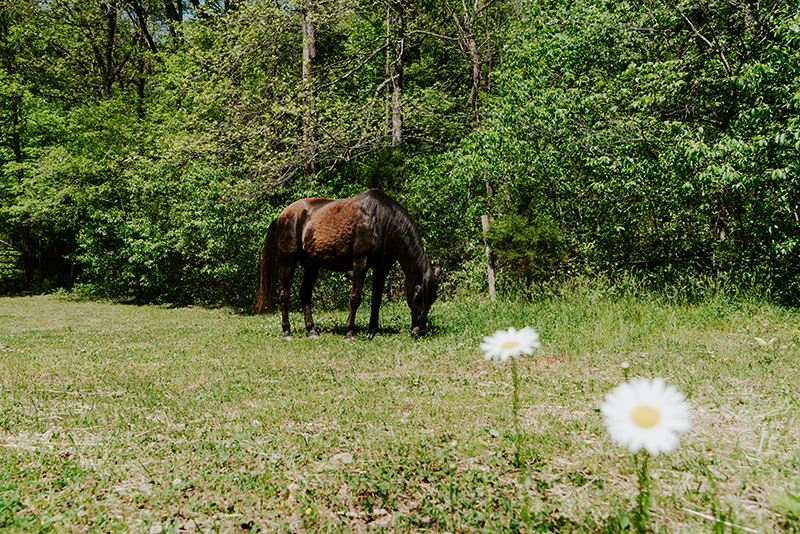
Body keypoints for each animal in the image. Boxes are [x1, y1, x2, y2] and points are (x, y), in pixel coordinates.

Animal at [255, 189, 441, 340]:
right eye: (418, 297)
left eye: (432, 300)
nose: (418, 330)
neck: (381, 221)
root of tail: (282, 215)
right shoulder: (360, 263)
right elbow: (355, 298)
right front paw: (349, 332)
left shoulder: (381, 268)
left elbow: (376, 299)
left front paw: (375, 330)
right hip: (289, 263)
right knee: (284, 294)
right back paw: (287, 331)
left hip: (311, 265)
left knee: (305, 293)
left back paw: (312, 330)